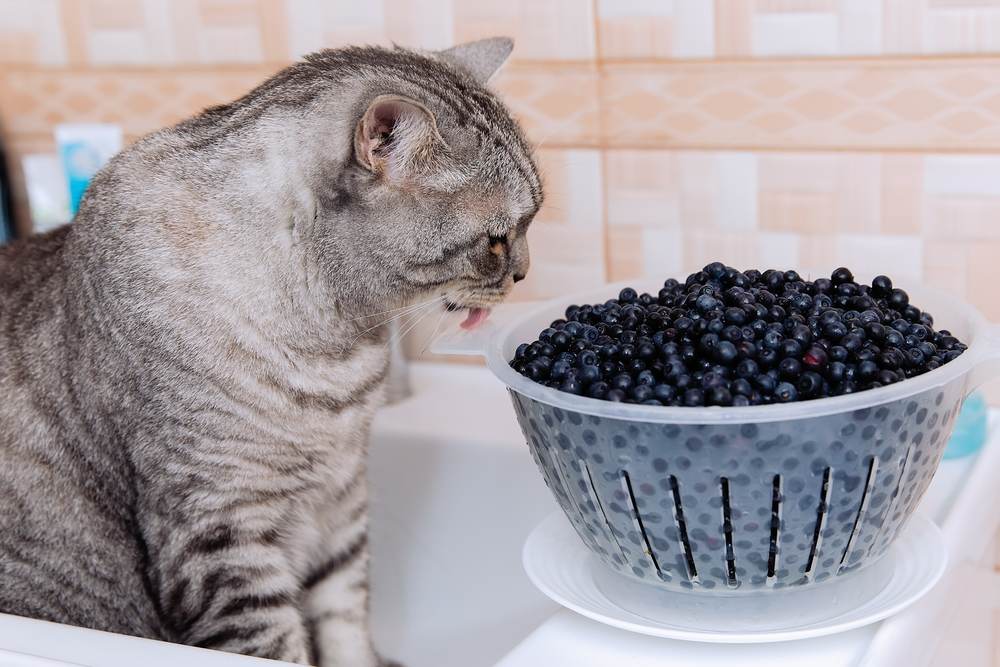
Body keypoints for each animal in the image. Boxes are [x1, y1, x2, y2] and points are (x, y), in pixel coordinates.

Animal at [0, 37, 540, 667]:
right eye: (497, 240)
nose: (524, 274)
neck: (336, 351)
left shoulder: (341, 504)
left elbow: (345, 623)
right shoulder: (219, 535)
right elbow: (279, 644)